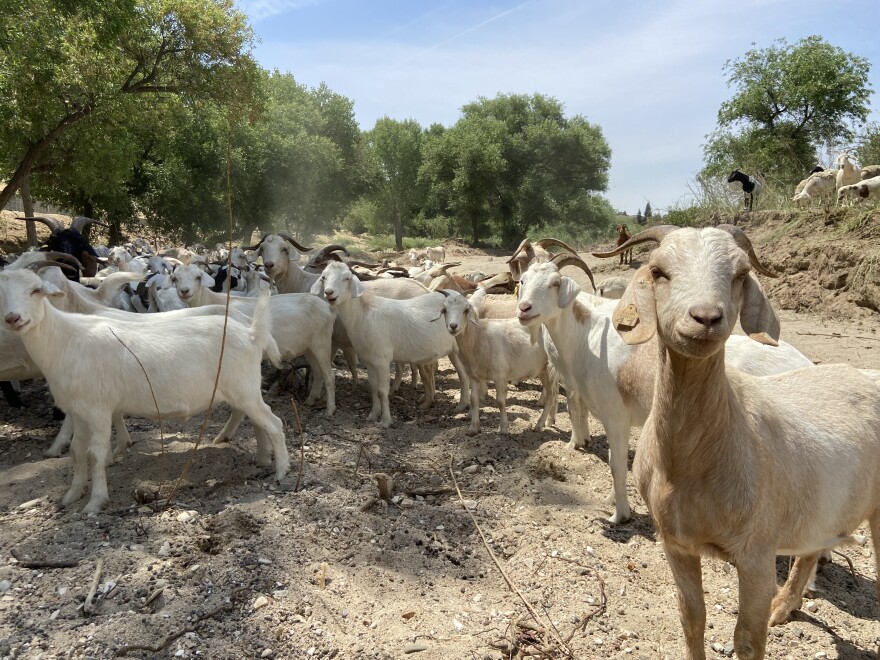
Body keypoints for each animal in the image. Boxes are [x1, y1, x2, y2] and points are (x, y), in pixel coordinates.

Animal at [0, 268, 288, 510]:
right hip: (242, 390)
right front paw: (71, 496)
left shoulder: (98, 409)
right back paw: (263, 460)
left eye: (36, 291)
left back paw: (282, 471)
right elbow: (77, 451)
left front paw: (95, 503)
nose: (13, 319)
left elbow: (96, 454)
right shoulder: (78, 410)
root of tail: (252, 333)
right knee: (259, 422)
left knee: (274, 423)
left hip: (243, 387)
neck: (65, 339)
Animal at [312, 260, 470, 430]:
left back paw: (462, 406)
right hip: (452, 351)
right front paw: (373, 414)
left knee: (463, 375)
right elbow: (373, 387)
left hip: (459, 348)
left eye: (346, 278)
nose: (329, 293)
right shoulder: (369, 359)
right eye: (324, 277)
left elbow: (382, 390)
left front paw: (386, 421)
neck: (362, 314)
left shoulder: (382, 359)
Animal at [438, 290, 556, 436]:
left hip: (551, 368)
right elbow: (474, 399)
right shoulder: (474, 375)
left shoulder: (499, 374)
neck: (478, 337)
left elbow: (500, 401)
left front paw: (503, 428)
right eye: (444, 310)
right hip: (543, 369)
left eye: (465, 310)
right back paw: (547, 422)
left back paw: (540, 425)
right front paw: (473, 427)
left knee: (552, 395)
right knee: (552, 394)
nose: (453, 326)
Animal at [600, 223, 880, 660]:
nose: (705, 317)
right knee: (812, 548)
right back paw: (785, 606)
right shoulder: (675, 542)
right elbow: (691, 618)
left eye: (739, 273)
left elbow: (747, 639)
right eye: (658, 271)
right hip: (824, 506)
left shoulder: (756, 553)